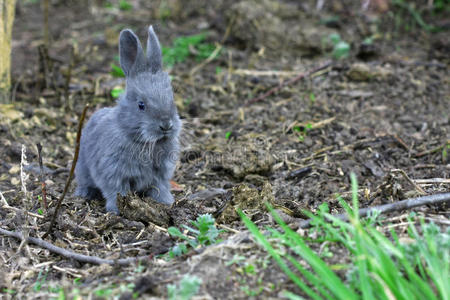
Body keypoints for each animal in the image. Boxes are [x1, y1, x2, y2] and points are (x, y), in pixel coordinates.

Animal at [74, 25, 181, 213]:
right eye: (141, 105)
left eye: (172, 99)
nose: (166, 125)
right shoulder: (113, 172)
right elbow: (116, 190)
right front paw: (116, 210)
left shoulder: (160, 175)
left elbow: (159, 188)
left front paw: (166, 202)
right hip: (82, 169)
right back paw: (84, 194)